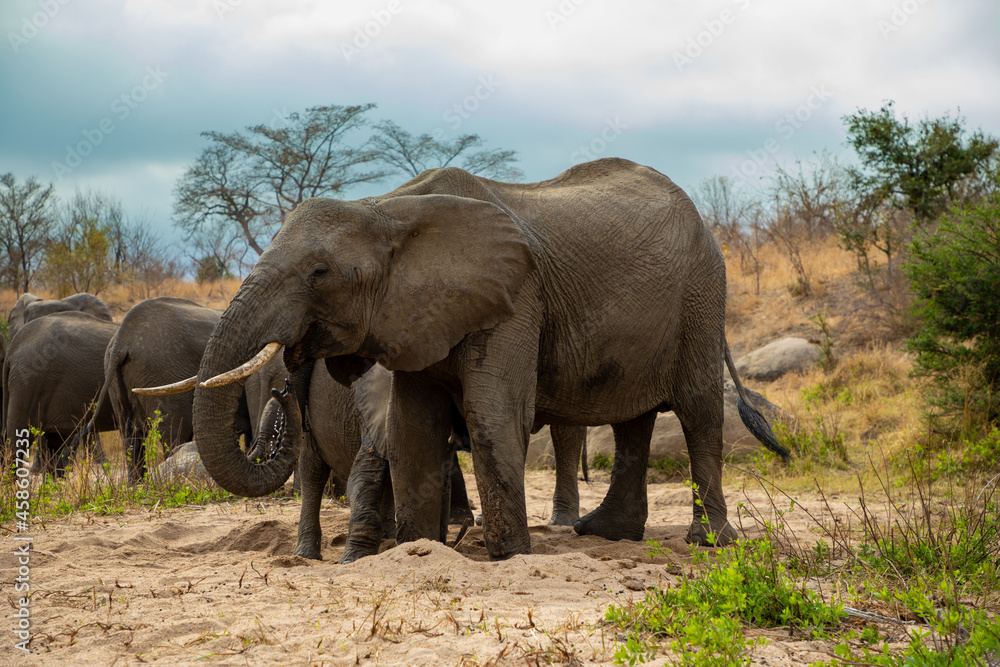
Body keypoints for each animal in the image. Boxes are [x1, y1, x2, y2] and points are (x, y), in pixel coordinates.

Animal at [193, 159, 788, 560]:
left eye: (318, 273)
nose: (284, 383)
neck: (387, 208)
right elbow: (412, 426)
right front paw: (419, 551)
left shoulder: (515, 296)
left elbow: (492, 413)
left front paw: (510, 556)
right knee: (632, 419)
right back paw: (606, 534)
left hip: (702, 298)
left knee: (698, 411)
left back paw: (708, 542)